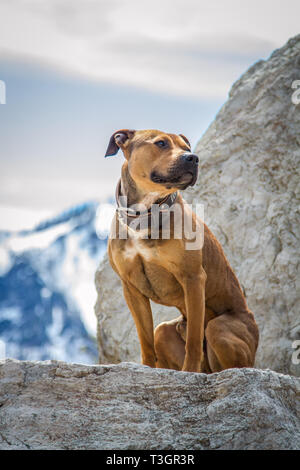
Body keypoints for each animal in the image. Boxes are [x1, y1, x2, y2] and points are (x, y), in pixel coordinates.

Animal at [105, 129, 258, 370]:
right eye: (160, 143)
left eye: (187, 148)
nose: (193, 158)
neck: (146, 212)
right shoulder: (131, 287)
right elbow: (145, 340)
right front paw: (146, 368)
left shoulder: (193, 278)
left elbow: (194, 339)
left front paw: (190, 371)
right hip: (163, 332)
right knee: (160, 333)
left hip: (221, 329)